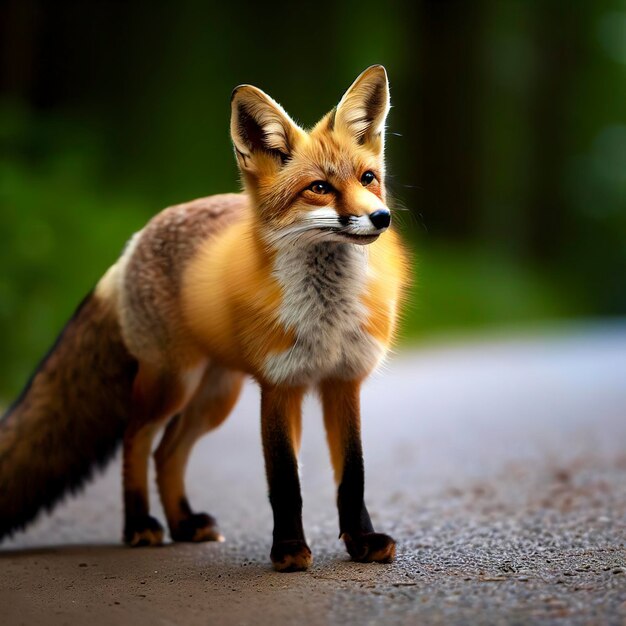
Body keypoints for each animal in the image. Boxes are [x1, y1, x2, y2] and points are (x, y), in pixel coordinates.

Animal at [0, 64, 408, 572]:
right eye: (319, 188)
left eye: (368, 178)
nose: (381, 217)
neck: (325, 317)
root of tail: (135, 241)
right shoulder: (279, 385)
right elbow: (285, 482)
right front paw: (289, 550)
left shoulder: (344, 381)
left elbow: (353, 475)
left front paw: (362, 541)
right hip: (170, 384)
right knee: (137, 440)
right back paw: (140, 525)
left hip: (215, 396)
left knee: (167, 453)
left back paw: (183, 524)